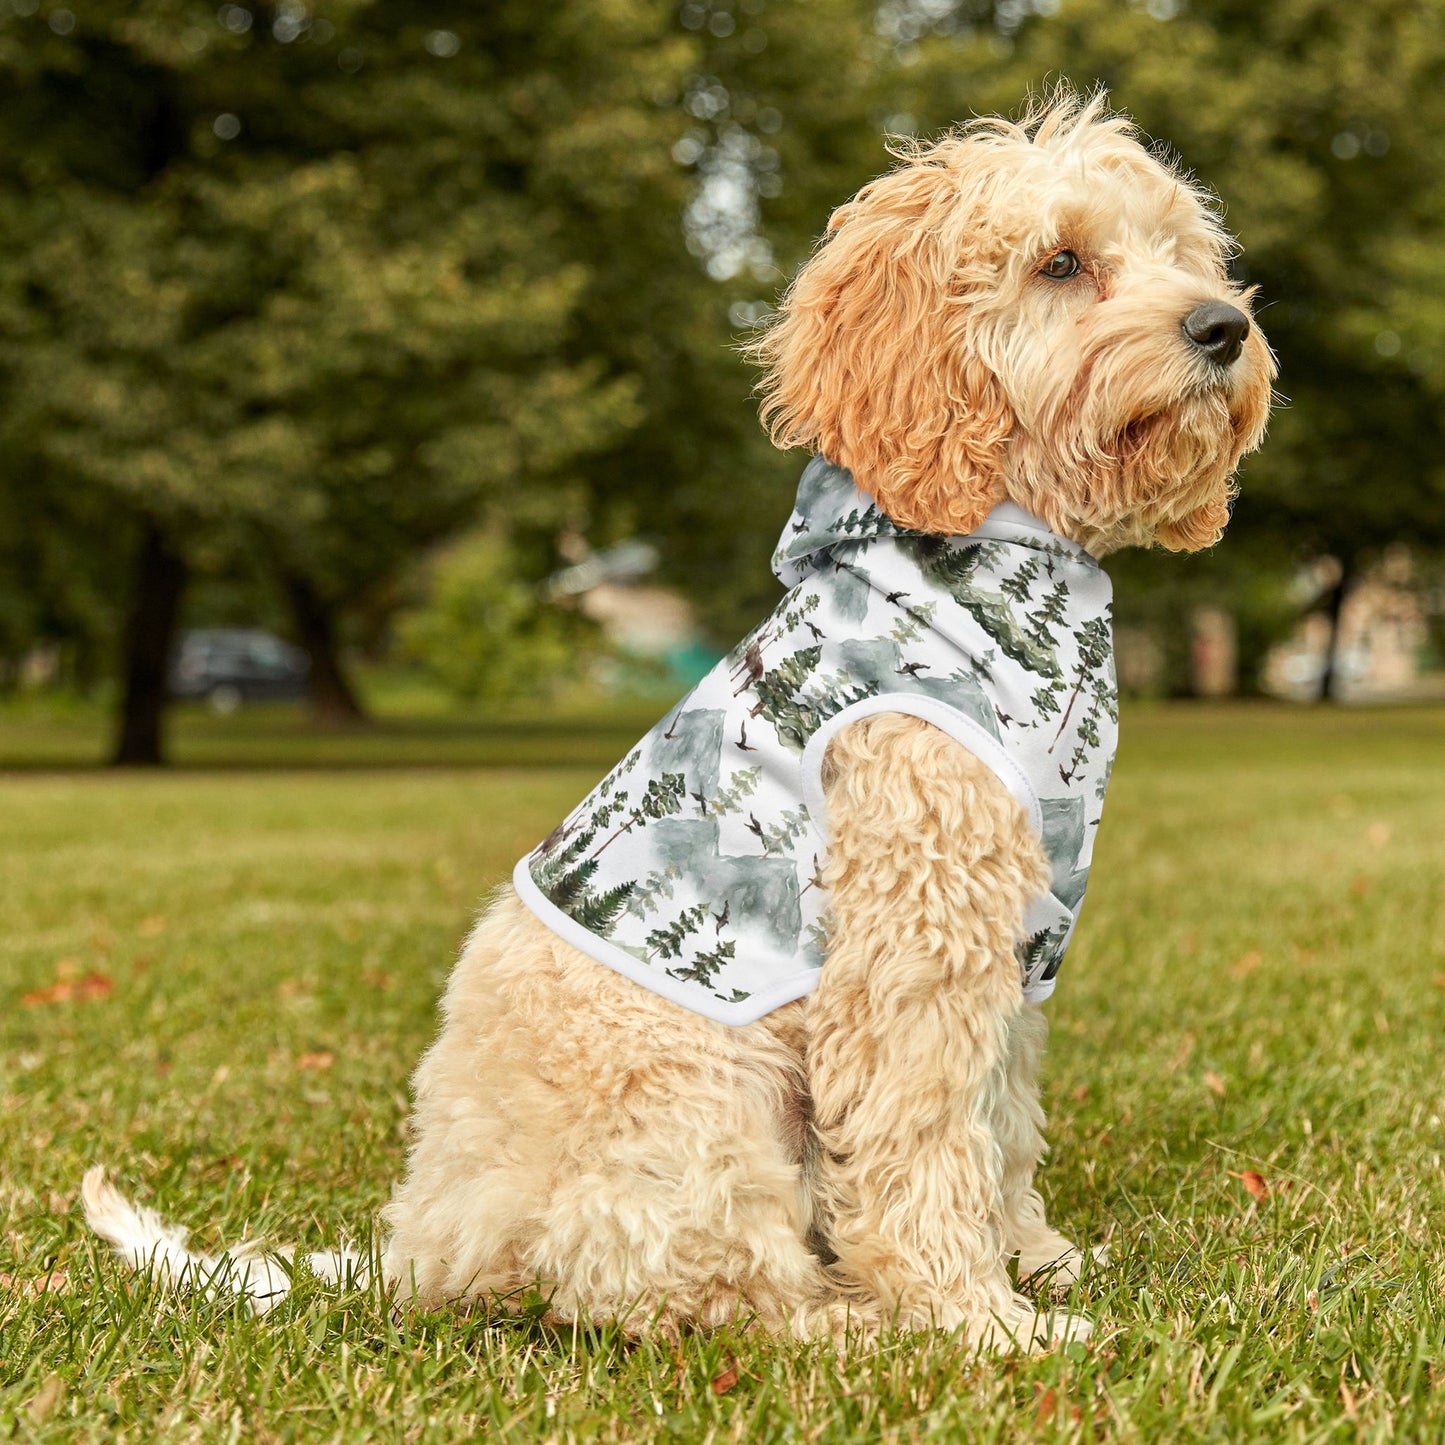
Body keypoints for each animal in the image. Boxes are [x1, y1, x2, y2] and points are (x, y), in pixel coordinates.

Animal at [84, 93, 1271, 1352]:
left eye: (1180, 252)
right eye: (1060, 262)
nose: (1222, 327)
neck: (1001, 560)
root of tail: (423, 1247)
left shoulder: (1016, 940)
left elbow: (999, 1121)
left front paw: (1035, 1260)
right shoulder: (912, 940)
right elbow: (923, 1138)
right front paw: (977, 1318)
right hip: (702, 1102)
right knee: (701, 1291)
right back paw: (852, 1322)